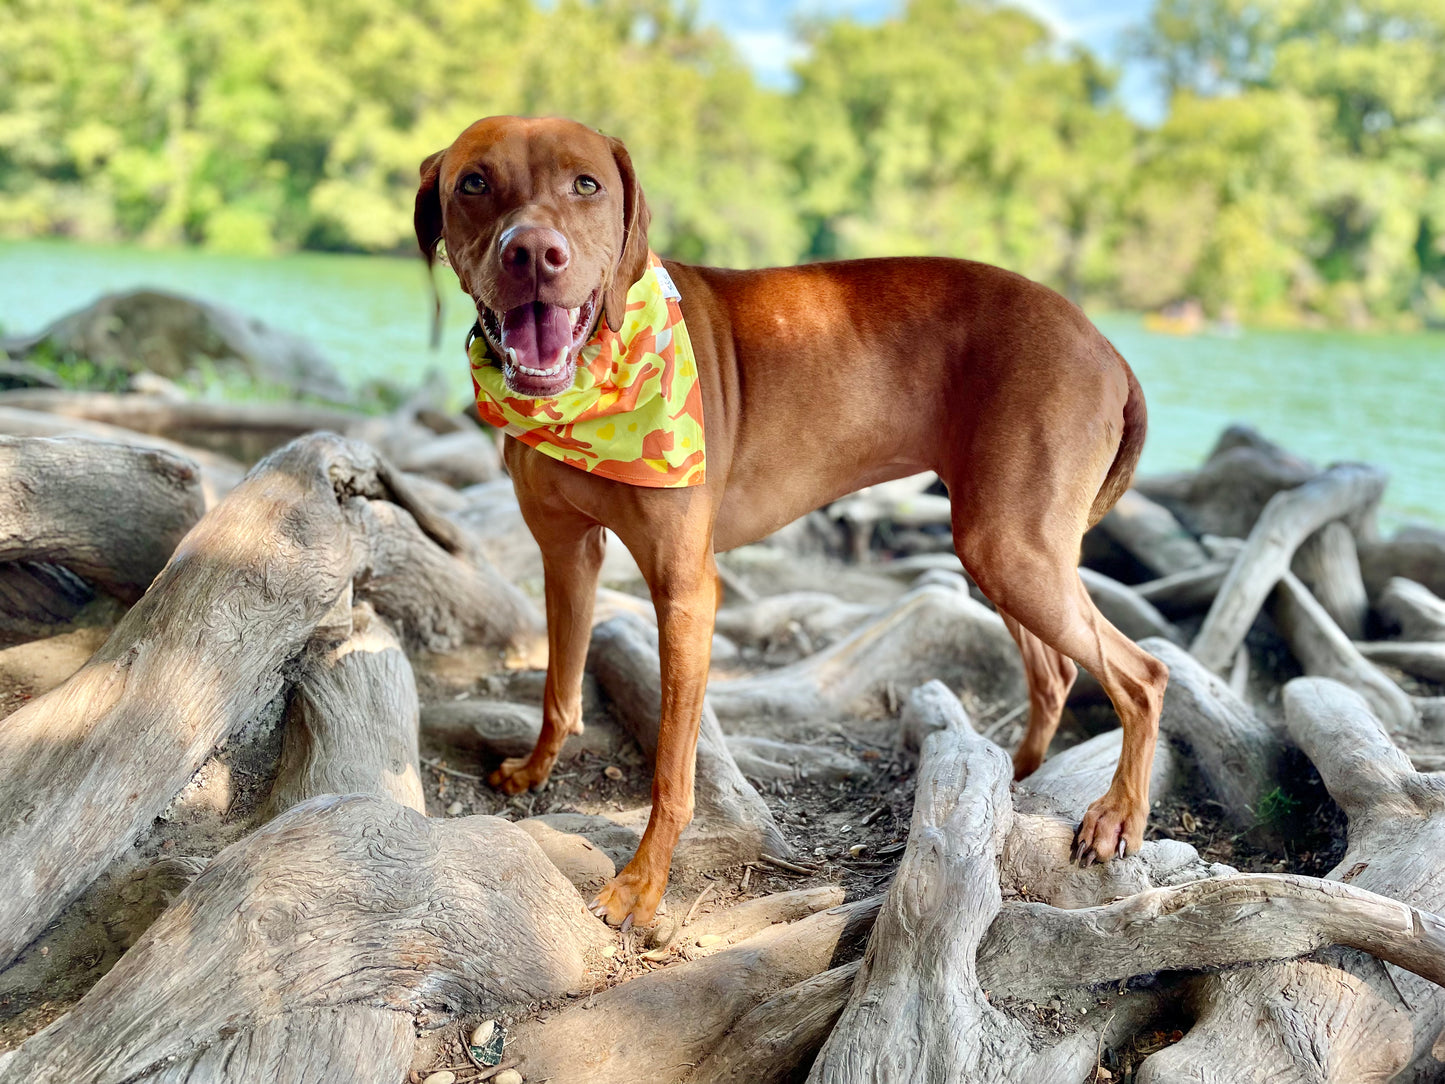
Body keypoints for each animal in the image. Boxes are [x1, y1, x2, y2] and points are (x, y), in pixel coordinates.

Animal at [413, 118, 1167, 936]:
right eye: (473, 183)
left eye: (586, 184)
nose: (532, 254)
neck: (592, 382)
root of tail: (1109, 349)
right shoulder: (565, 553)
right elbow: (558, 686)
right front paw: (533, 770)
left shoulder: (686, 592)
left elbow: (672, 768)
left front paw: (642, 886)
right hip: (1002, 546)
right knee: (1056, 669)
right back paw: (1012, 779)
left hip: (1010, 546)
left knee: (1143, 675)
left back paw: (1117, 815)